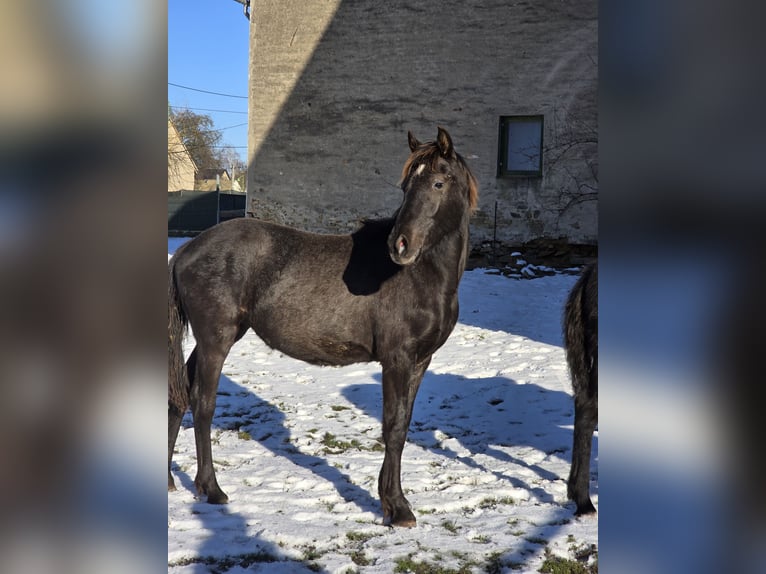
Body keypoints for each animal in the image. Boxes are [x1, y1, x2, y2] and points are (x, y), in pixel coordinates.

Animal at [171, 128, 476, 528]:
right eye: (406, 186)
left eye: (439, 183)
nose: (400, 245)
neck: (421, 276)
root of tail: (186, 250)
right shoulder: (396, 359)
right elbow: (393, 427)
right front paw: (397, 507)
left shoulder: (420, 361)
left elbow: (404, 424)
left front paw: (390, 500)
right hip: (215, 340)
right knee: (202, 403)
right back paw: (213, 489)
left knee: (179, 393)